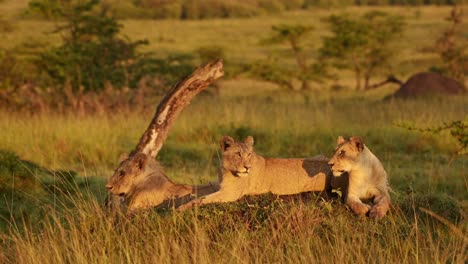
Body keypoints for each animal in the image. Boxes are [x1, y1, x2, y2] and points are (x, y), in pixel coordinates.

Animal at [176, 136, 332, 210]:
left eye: (249, 154)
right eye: (238, 154)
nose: (247, 167)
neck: (227, 170)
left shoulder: (231, 193)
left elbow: (202, 199)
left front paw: (181, 207)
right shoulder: (220, 186)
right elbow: (201, 190)